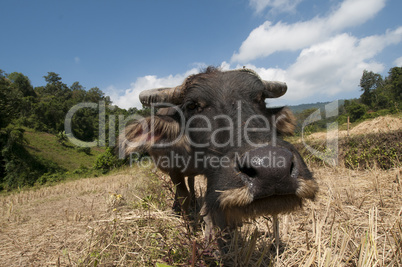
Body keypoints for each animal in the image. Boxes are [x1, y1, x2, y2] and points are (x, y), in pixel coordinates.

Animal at [119, 66, 318, 249]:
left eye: (261, 98)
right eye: (192, 105)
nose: (273, 169)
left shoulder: (211, 175)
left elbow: (208, 205)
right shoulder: (174, 172)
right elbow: (183, 197)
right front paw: (189, 226)